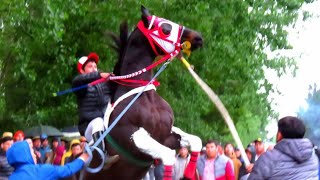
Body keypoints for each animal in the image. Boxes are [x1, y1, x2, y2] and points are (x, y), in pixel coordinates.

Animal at [85, 5, 202, 180]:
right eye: (166, 29)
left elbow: (196, 141)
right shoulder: (133, 137)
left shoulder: (166, 136)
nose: (198, 37)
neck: (144, 96)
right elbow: (168, 156)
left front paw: (189, 173)